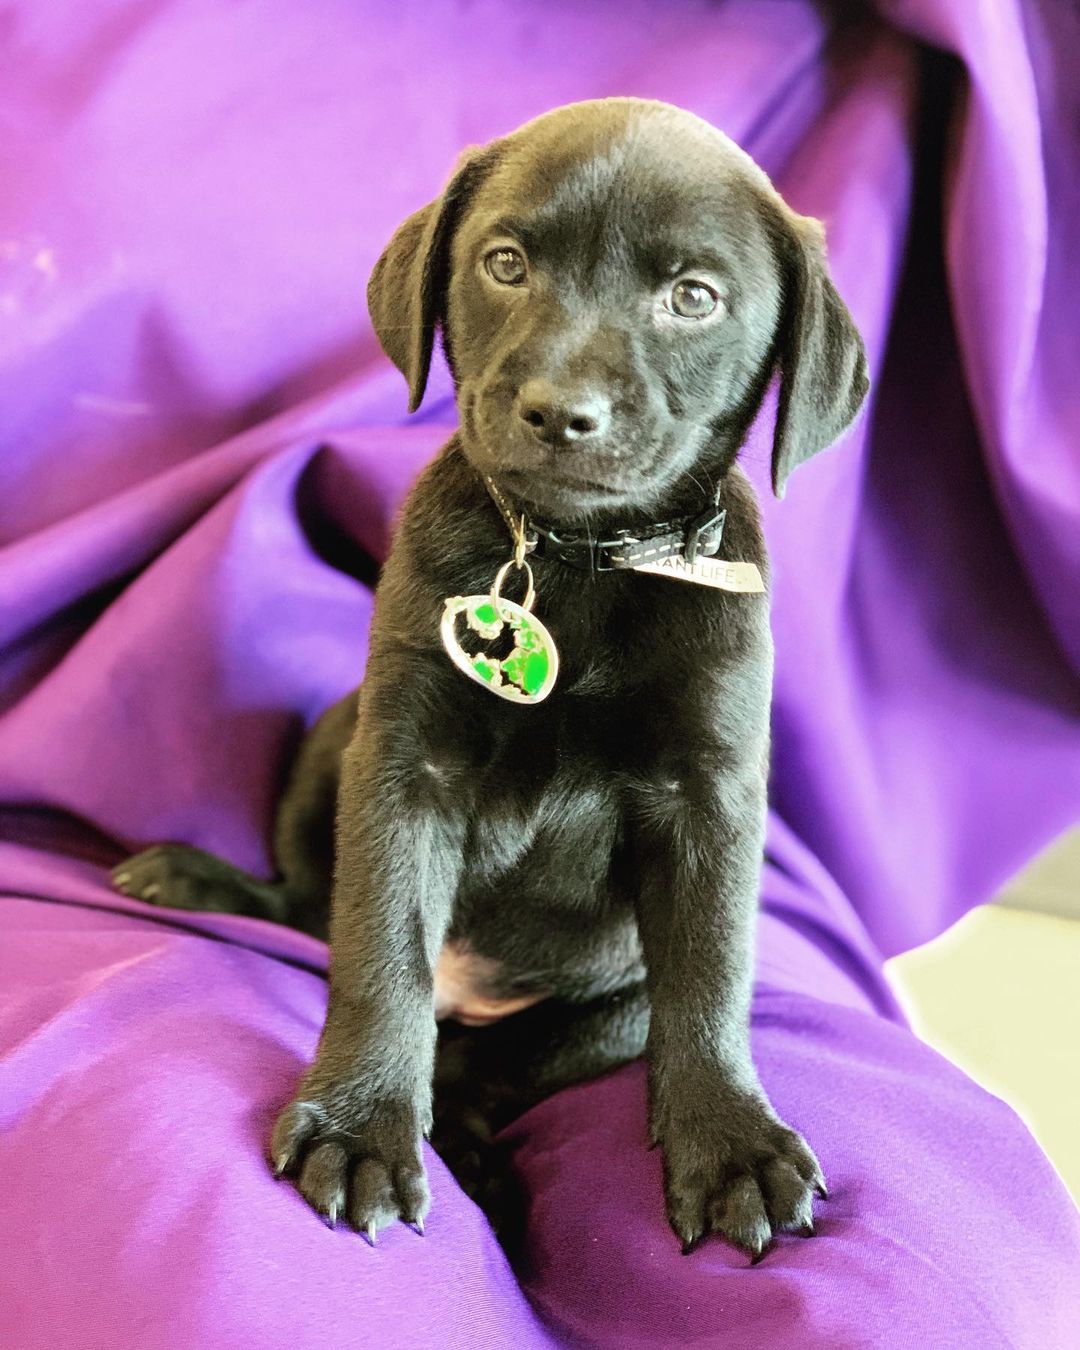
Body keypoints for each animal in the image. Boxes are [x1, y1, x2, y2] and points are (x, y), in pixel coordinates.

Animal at [112, 99, 869, 1258]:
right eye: (505, 263)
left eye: (694, 297)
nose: (561, 411)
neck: (575, 562)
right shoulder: (403, 759)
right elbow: (381, 947)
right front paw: (363, 1125)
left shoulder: (709, 794)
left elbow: (710, 977)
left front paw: (732, 1142)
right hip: (336, 731)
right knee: (318, 911)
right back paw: (204, 883)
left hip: (608, 1006)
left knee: (490, 1069)